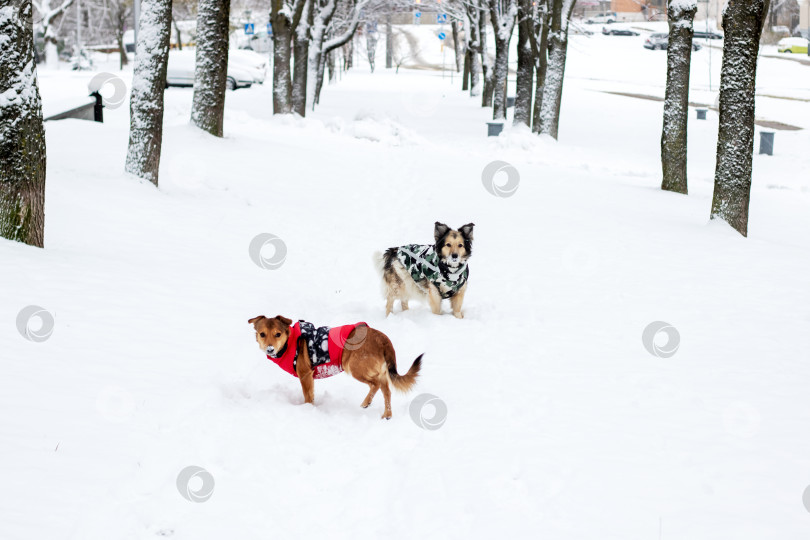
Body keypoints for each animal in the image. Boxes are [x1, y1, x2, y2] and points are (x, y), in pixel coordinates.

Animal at [248, 314, 422, 420]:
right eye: (262, 334)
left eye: (277, 334)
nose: (270, 349)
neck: (290, 342)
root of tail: (383, 340)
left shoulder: (305, 375)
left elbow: (308, 397)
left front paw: (307, 410)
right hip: (380, 371)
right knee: (386, 391)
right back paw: (387, 414)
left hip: (354, 367)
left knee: (376, 385)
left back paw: (366, 403)